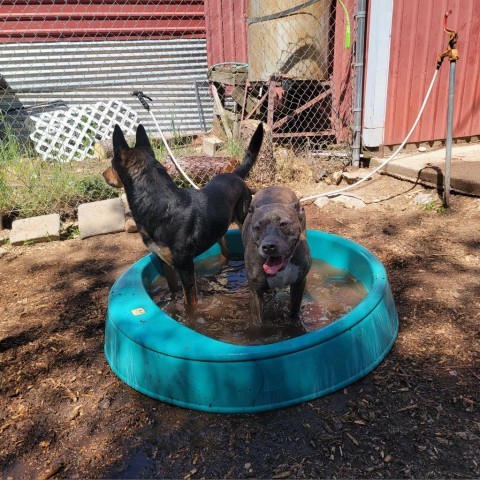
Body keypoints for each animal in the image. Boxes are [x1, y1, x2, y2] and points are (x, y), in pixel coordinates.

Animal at [103, 123, 266, 312]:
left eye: (111, 163)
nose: (103, 174)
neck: (158, 203)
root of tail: (235, 174)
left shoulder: (186, 267)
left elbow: (190, 304)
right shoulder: (165, 262)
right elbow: (173, 292)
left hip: (242, 223)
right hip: (218, 231)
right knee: (225, 249)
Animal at [242, 186, 314, 324]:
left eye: (283, 224)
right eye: (257, 227)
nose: (268, 246)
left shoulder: (298, 284)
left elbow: (294, 312)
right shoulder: (255, 292)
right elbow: (258, 323)